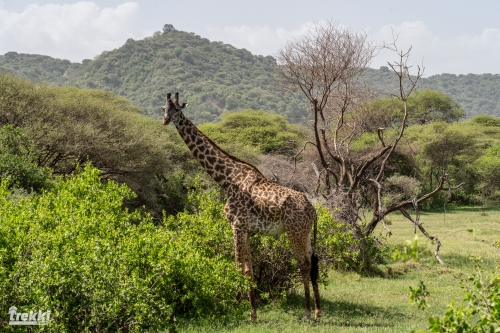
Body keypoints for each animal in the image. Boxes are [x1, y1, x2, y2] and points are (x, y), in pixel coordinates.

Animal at [162, 91, 322, 320]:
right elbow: (249, 269)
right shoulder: (245, 229)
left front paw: (238, 305)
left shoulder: (236, 224)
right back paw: (318, 311)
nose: (165, 120)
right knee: (313, 262)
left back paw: (308, 312)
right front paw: (249, 308)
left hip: (295, 232)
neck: (227, 179)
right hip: (306, 233)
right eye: (163, 108)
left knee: (304, 264)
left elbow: (239, 266)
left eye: (176, 109)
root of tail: (313, 210)